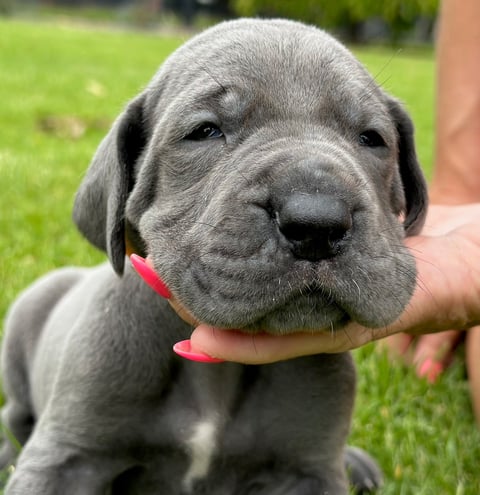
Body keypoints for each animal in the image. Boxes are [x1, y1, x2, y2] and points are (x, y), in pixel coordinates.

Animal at [0, 18, 428, 495]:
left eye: (373, 139)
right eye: (205, 131)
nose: (317, 222)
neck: (217, 372)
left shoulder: (308, 470)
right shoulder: (69, 457)